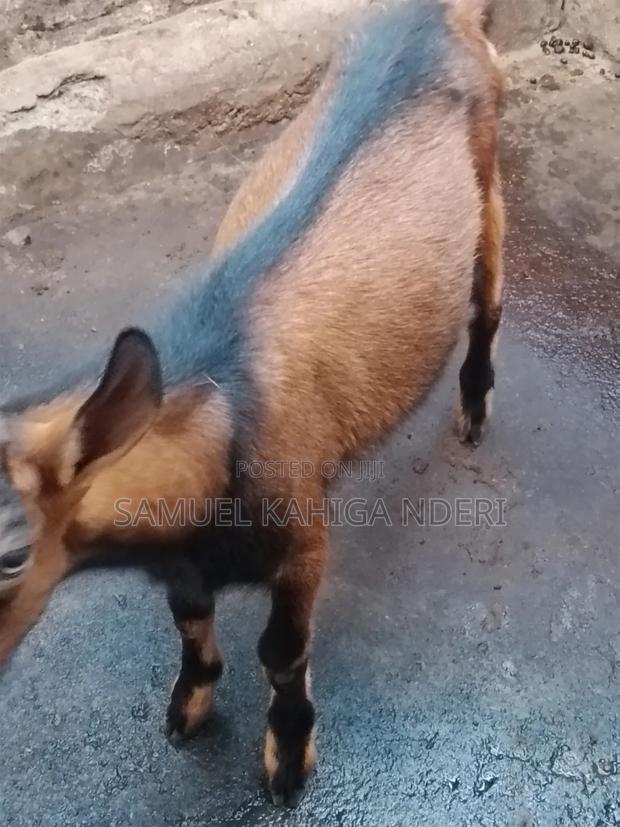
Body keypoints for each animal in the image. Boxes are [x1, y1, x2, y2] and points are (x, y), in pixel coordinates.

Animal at [0, 0, 503, 806]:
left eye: (13, 554)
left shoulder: (303, 534)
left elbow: (282, 652)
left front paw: (289, 761)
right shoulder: (181, 560)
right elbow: (187, 616)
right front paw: (191, 702)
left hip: (487, 177)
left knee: (487, 300)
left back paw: (475, 410)